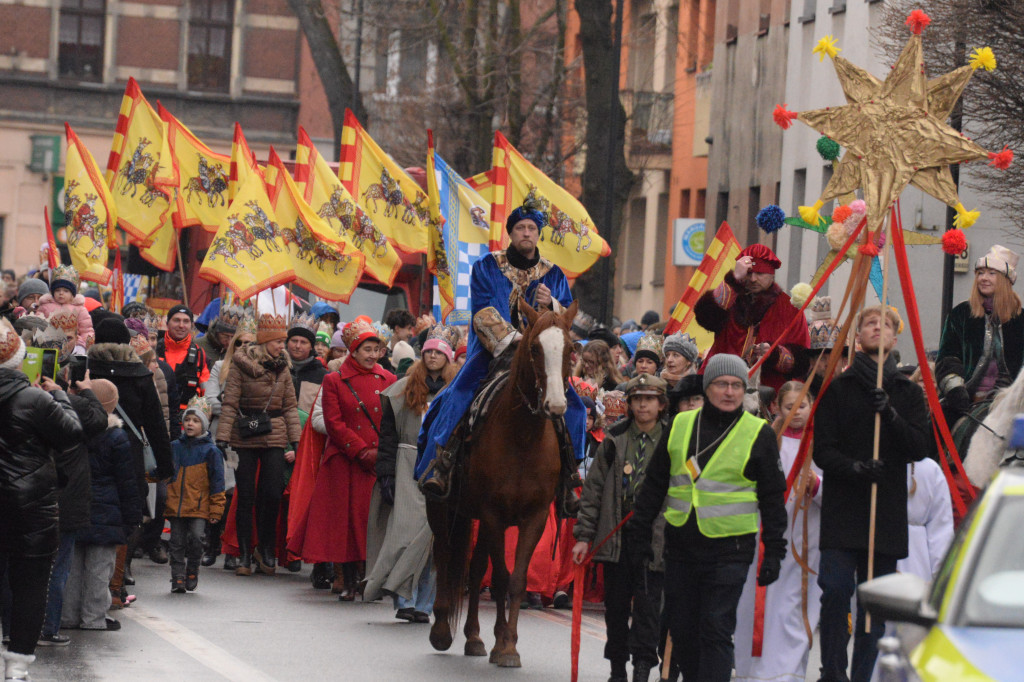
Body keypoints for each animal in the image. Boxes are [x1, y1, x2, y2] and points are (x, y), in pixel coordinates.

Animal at [428, 296, 581, 663]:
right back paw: (441, 630)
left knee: (474, 568)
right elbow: (499, 577)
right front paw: (503, 643)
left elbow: (515, 580)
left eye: (571, 348)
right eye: (535, 348)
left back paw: (473, 637)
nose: (557, 404)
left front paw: (507, 642)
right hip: (442, 508)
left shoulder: (534, 517)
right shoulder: (494, 514)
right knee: (444, 554)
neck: (523, 436)